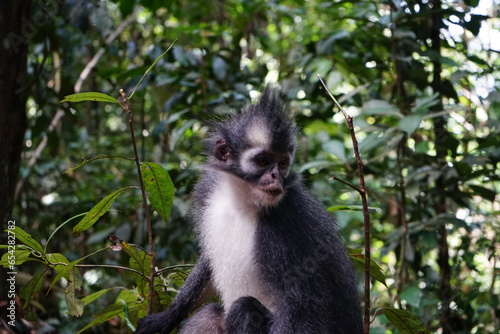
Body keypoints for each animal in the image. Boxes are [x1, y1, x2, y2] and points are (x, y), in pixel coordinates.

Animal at [136, 87, 364, 332]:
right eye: (262, 160)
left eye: (282, 164)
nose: (275, 177)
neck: (242, 202)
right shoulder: (209, 191)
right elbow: (208, 266)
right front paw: (165, 318)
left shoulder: (287, 226)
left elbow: (305, 308)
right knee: (210, 315)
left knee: (244, 309)